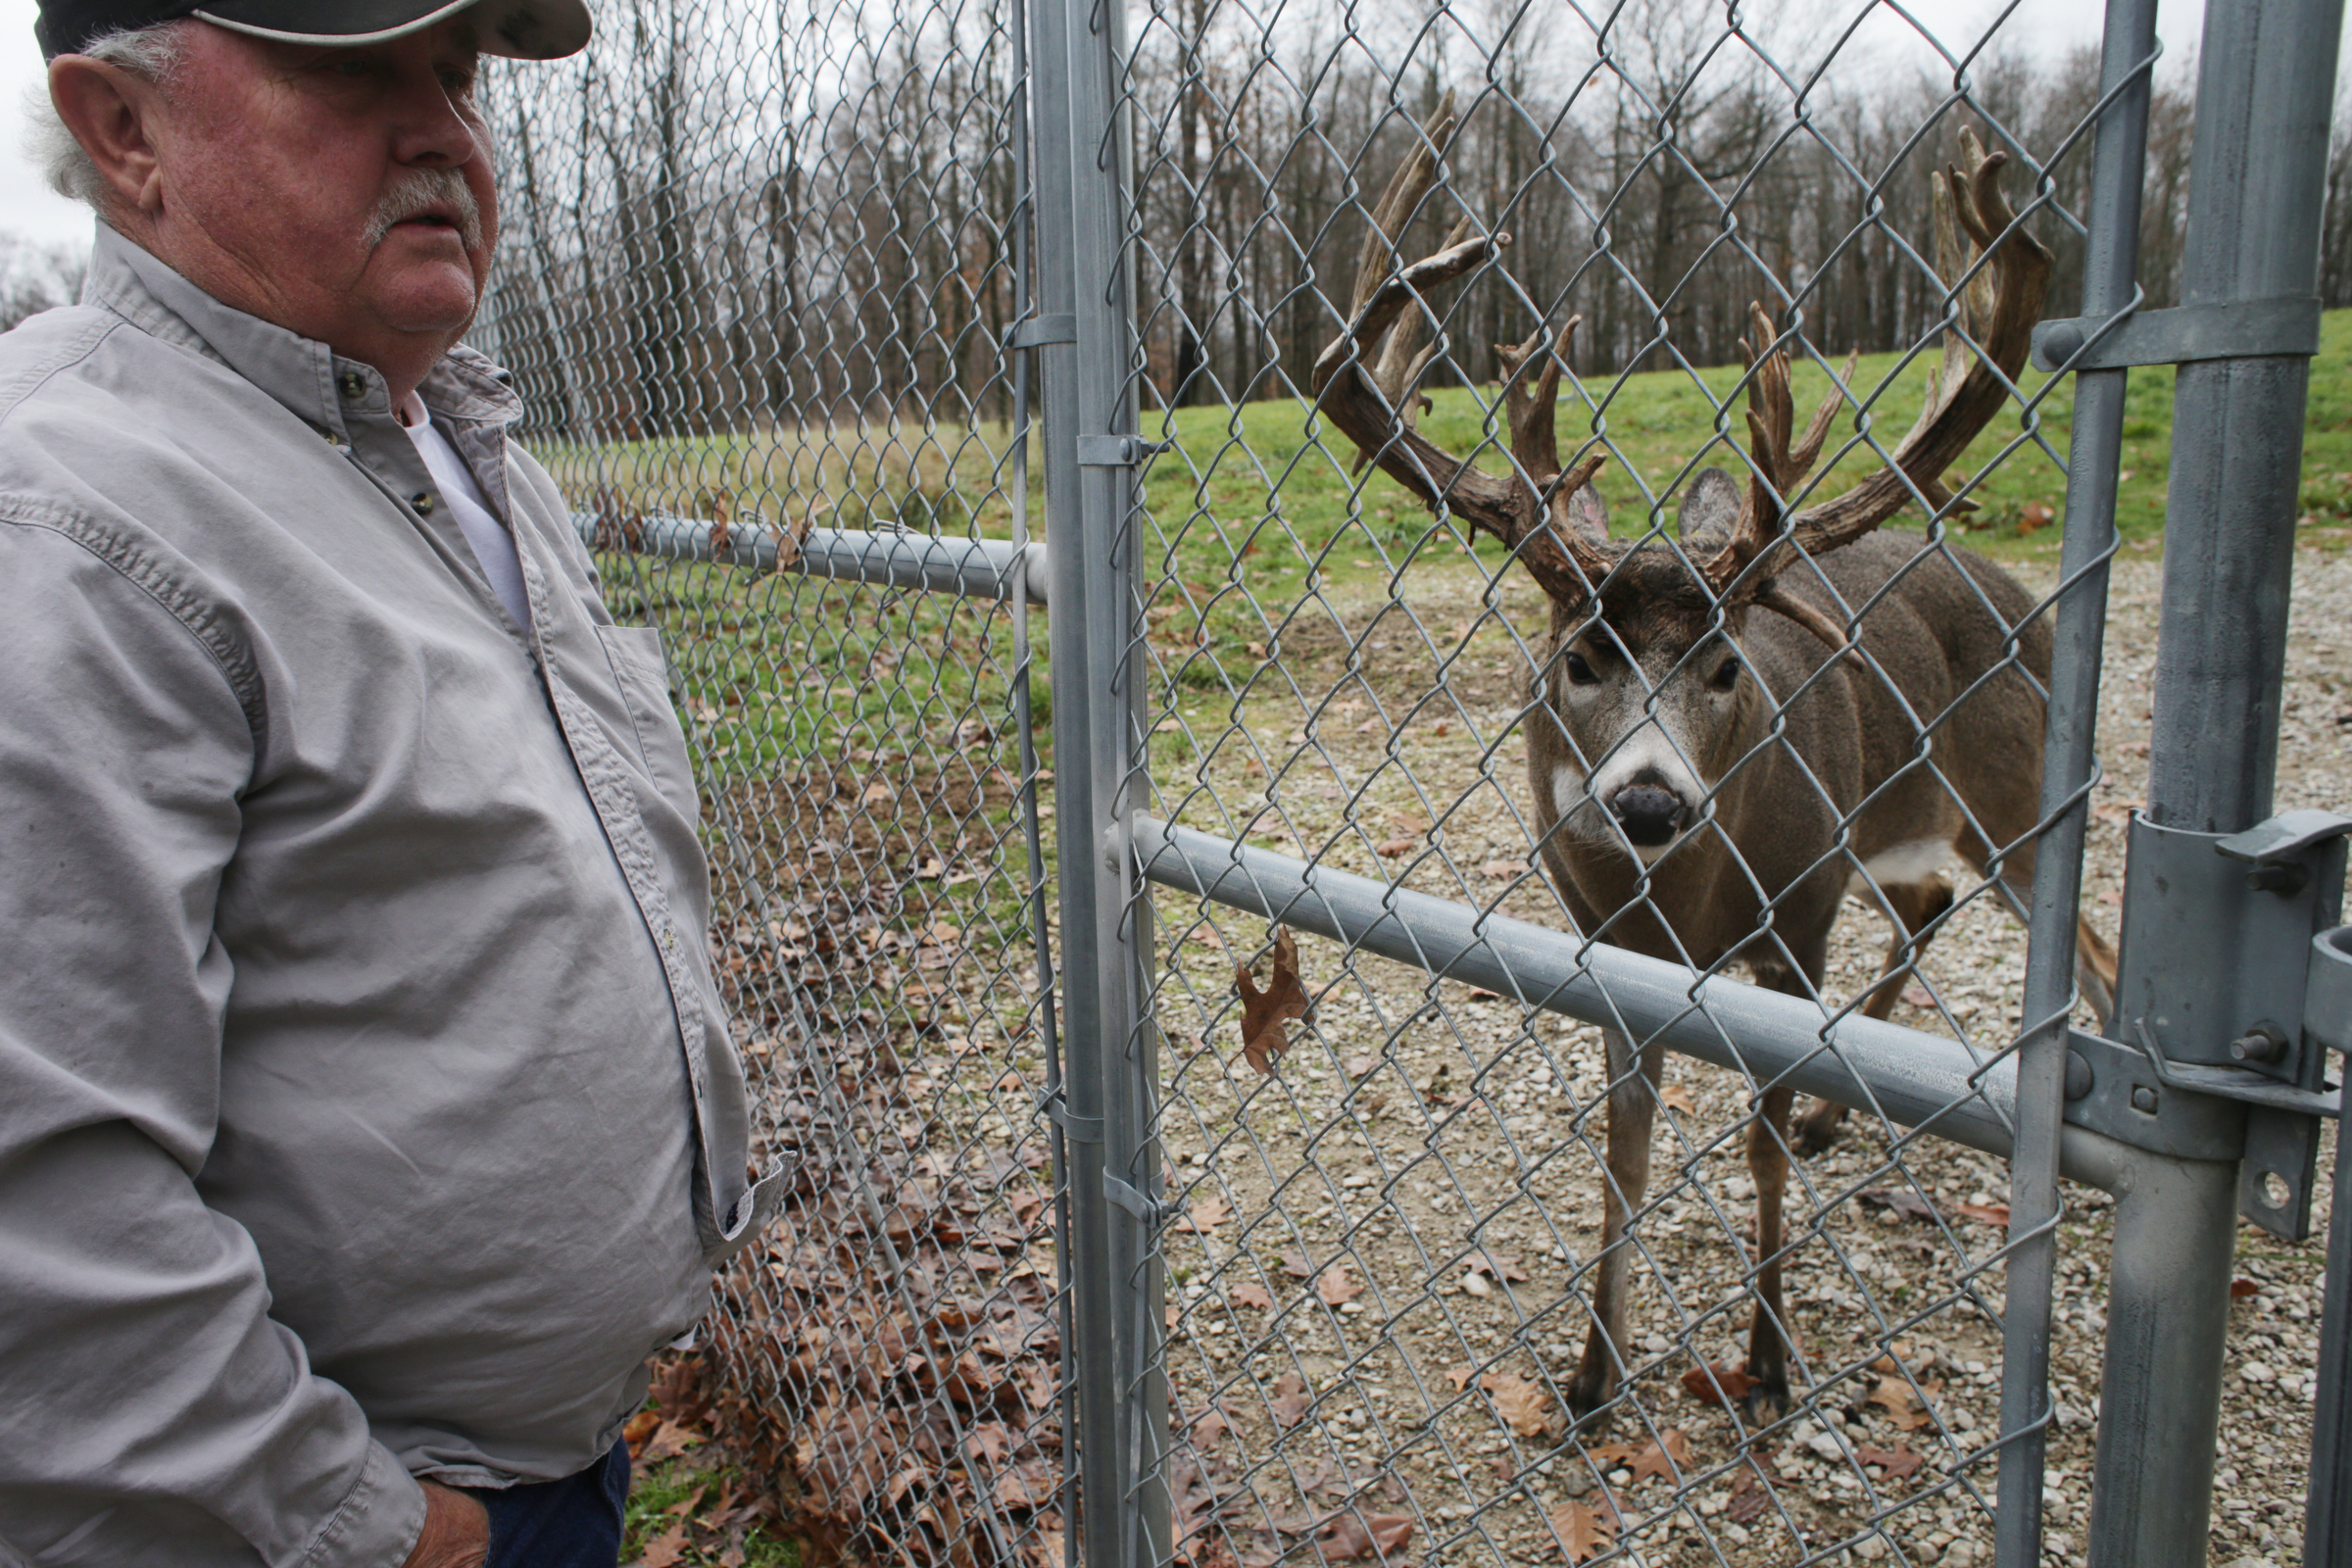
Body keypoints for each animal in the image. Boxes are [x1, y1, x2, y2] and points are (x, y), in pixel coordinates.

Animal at [1308, 102, 2118, 1428]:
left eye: (1729, 663)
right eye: (1580, 655)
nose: (1648, 797)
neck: (1688, 911)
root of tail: (2020, 599)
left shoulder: (1797, 920)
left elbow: (1756, 1137)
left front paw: (1771, 1356)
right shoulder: (1611, 956)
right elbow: (1625, 1153)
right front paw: (1593, 1373)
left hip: (2010, 796)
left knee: (2086, 944)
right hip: (1897, 823)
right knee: (1930, 900)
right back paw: (1847, 1114)